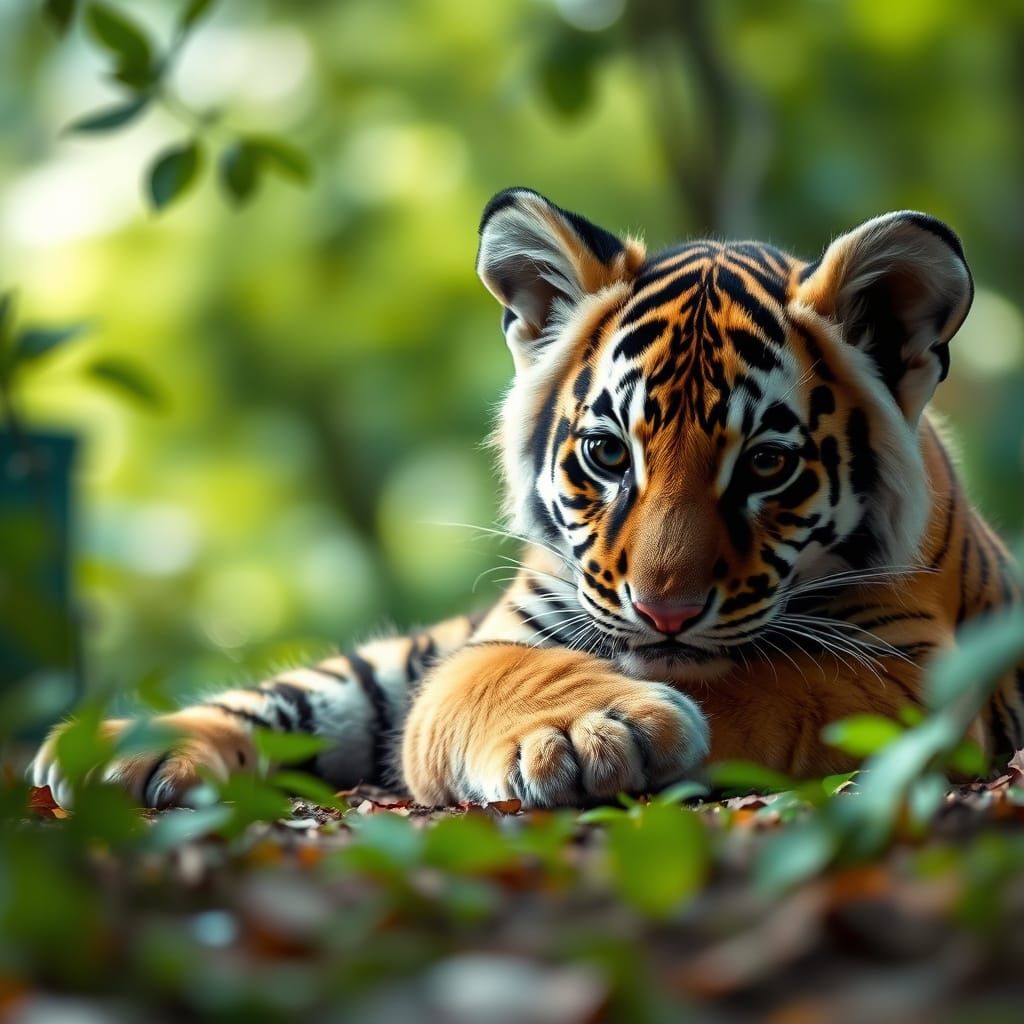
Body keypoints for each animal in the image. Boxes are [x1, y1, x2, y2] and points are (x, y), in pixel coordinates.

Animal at [32, 187, 1024, 810]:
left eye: (768, 467)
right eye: (607, 453)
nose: (664, 612)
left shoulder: (902, 666)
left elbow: (757, 678)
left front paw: (627, 723)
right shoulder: (503, 631)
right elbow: (492, 674)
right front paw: (589, 729)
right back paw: (119, 751)